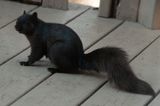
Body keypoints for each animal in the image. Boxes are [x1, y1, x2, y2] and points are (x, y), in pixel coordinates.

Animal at [15, 11, 155, 96]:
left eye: (26, 23)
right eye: (17, 19)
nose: (16, 27)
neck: (35, 30)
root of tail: (79, 58)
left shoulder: (38, 42)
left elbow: (36, 54)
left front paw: (26, 62)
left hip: (56, 50)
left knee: (71, 70)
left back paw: (54, 69)